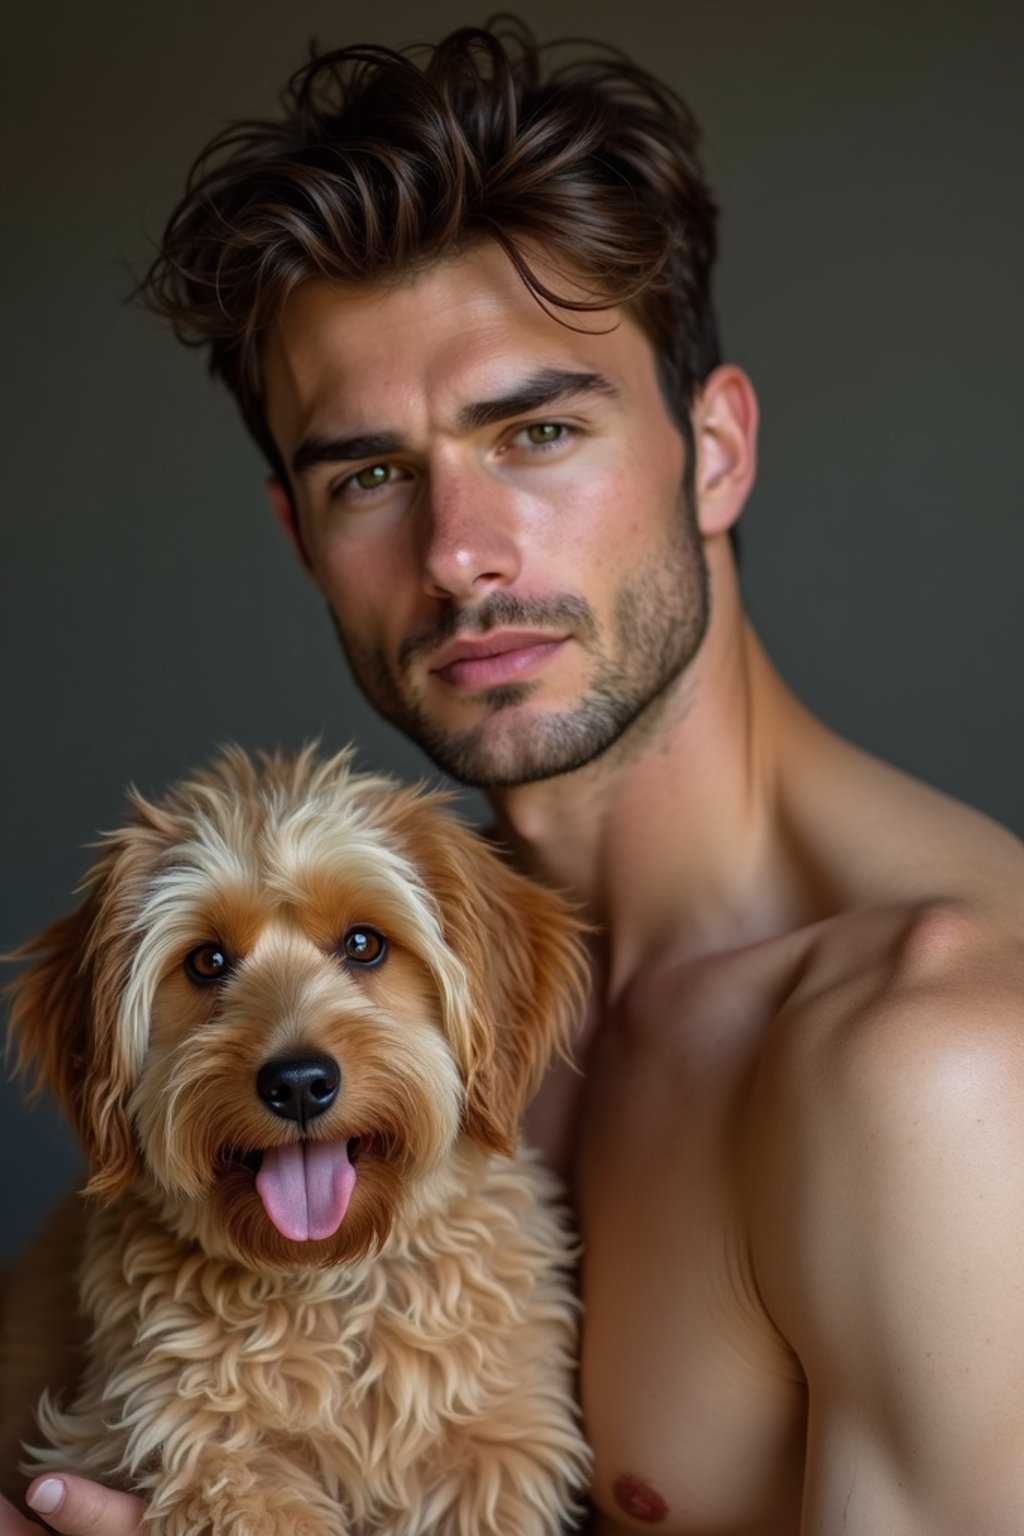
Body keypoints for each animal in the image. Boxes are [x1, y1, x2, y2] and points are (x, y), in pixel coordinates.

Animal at [5, 749, 592, 1529]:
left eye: (364, 943)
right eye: (207, 961)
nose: (299, 1082)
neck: (327, 1280)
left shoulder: (496, 1455)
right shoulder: (188, 1441)